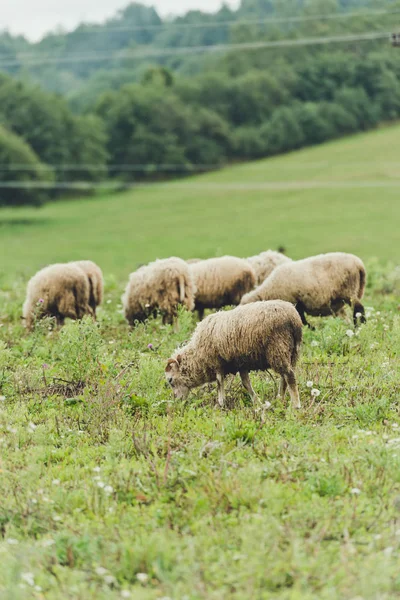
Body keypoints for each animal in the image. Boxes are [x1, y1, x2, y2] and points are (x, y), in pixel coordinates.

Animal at [166, 300, 304, 408]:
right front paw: (257, 403)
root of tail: (294, 318)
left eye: (170, 380)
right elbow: (246, 384)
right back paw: (279, 400)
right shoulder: (241, 364)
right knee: (285, 377)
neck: (197, 356)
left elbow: (219, 383)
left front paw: (221, 404)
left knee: (289, 376)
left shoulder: (217, 364)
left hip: (277, 348)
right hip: (292, 352)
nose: (177, 401)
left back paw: (296, 405)